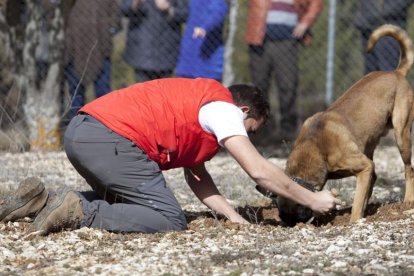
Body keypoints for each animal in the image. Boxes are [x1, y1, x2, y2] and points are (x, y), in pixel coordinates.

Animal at [276, 24, 414, 224]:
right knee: (375, 177)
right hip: (369, 143)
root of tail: (396, 72)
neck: (315, 145)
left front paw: (354, 220)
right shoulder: (364, 165)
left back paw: (408, 200)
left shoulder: (364, 166)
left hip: (401, 135)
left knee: (408, 169)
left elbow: (357, 203)